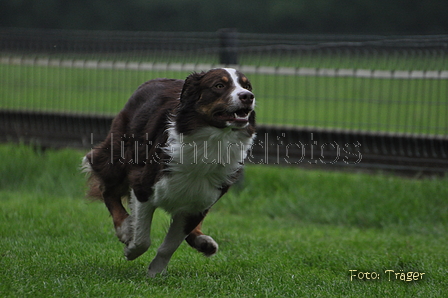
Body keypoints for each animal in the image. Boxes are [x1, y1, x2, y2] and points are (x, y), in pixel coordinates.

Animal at [81, 68, 256, 278]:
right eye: (219, 85)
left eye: (247, 85)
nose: (248, 96)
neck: (211, 142)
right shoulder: (143, 186)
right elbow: (142, 239)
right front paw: (131, 249)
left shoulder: (199, 202)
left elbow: (169, 245)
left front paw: (155, 273)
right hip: (119, 157)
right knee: (108, 188)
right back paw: (124, 228)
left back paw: (203, 242)